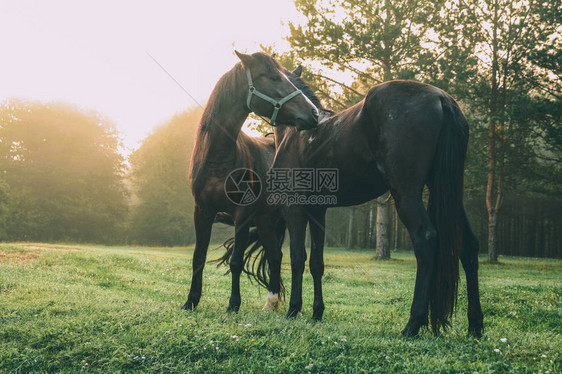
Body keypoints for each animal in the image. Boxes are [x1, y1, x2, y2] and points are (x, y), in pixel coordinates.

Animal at [182, 50, 318, 312]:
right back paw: (271, 302)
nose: (314, 113)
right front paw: (191, 301)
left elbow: (235, 261)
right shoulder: (201, 211)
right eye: (274, 77)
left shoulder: (242, 215)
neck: (218, 157)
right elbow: (198, 257)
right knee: (275, 256)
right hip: (265, 220)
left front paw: (233, 305)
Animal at [266, 65, 482, 338]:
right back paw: (475, 325)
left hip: (406, 193)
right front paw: (317, 313)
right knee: (469, 245)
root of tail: (442, 98)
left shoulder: (294, 208)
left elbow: (296, 258)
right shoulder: (318, 210)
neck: (296, 133)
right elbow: (316, 263)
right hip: (448, 190)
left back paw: (413, 323)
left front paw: (293, 310)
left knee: (425, 239)